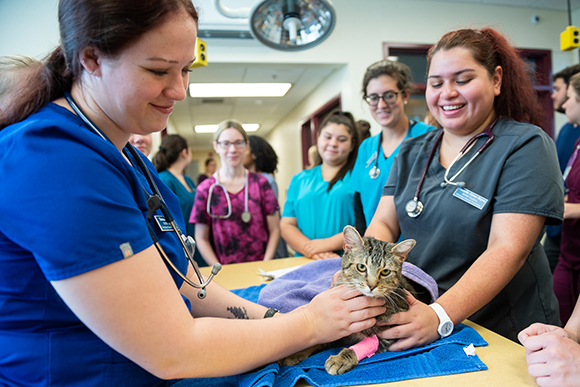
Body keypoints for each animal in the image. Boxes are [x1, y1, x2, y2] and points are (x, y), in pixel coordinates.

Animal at [278, 227, 428, 376]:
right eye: (361, 267)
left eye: (385, 272)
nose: (372, 286)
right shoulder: (336, 330)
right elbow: (320, 339)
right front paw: (295, 353)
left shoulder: (386, 335)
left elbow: (366, 344)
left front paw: (340, 359)